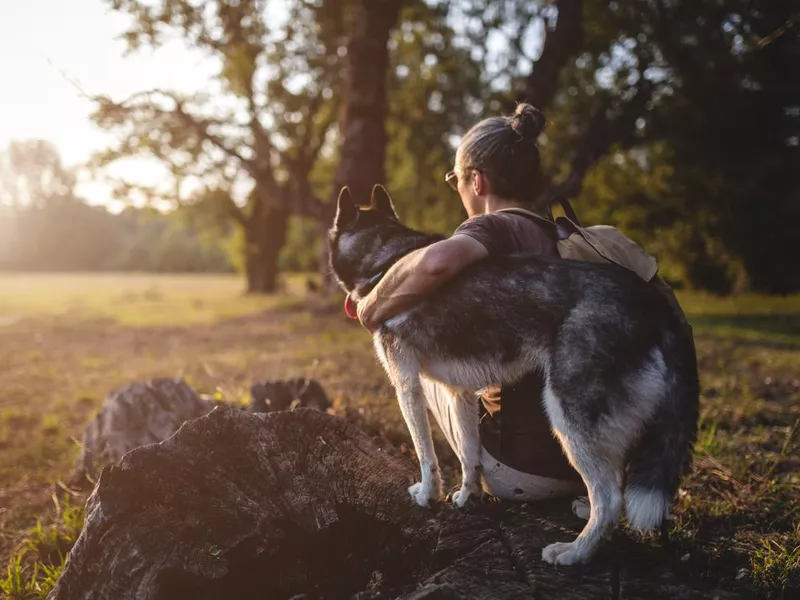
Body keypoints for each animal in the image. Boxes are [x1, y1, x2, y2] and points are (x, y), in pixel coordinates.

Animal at [328, 185, 696, 564]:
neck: (381, 256)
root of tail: (653, 304)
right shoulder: (458, 392)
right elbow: (469, 455)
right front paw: (467, 497)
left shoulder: (407, 385)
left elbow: (425, 453)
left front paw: (427, 495)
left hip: (570, 420)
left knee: (609, 501)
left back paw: (574, 552)